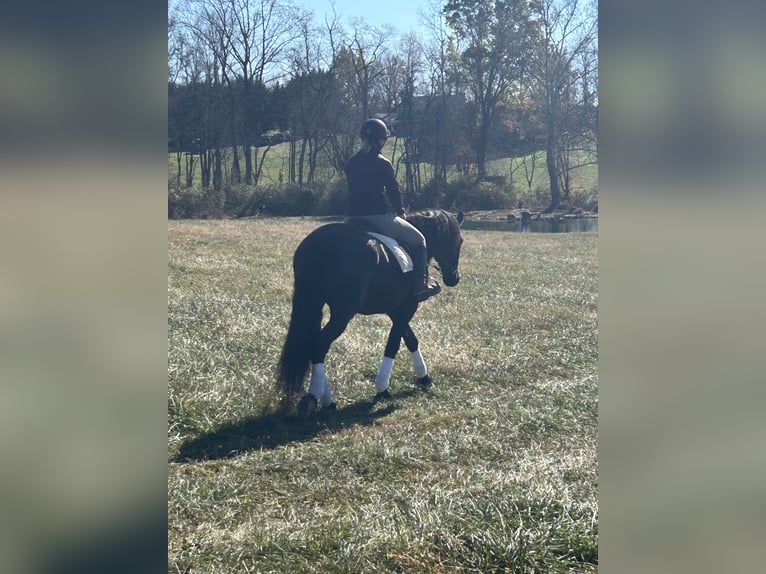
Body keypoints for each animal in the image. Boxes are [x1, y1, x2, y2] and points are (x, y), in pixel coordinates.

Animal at [278, 209, 464, 416]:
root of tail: (320, 243)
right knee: (319, 345)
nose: (454, 278)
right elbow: (393, 344)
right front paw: (382, 388)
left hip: (313, 303)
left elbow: (411, 340)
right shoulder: (407, 307)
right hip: (342, 314)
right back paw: (318, 399)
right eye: (460, 241)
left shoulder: (395, 310)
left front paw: (424, 378)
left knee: (313, 343)